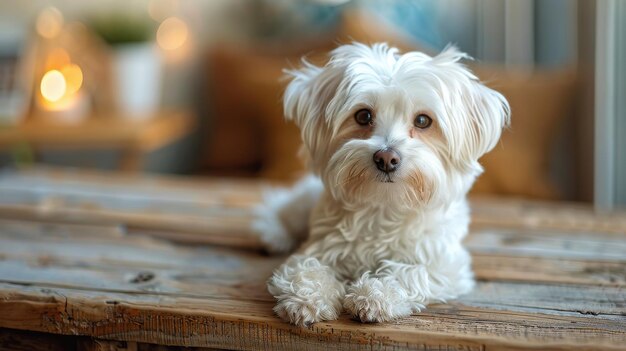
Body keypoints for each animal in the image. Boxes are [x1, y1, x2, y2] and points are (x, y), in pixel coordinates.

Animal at [252, 42, 508, 328]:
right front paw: (307, 298)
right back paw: (275, 234)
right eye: (363, 116)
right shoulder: (317, 249)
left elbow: (408, 272)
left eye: (423, 121)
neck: (385, 203)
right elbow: (306, 269)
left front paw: (375, 294)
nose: (386, 158)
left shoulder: (446, 266)